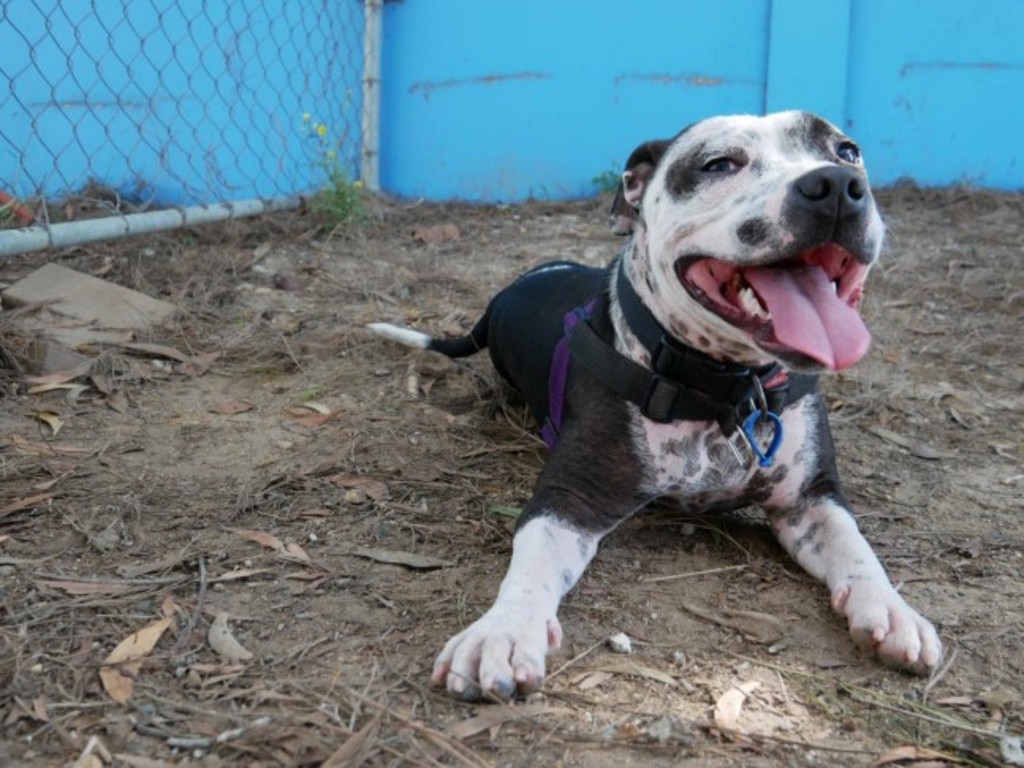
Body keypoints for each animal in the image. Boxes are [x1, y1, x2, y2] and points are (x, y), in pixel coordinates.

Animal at [370, 111, 942, 700]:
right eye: (719, 164)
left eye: (848, 151)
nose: (836, 184)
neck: (723, 386)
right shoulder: (569, 498)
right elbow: (532, 563)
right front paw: (502, 631)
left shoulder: (810, 498)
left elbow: (856, 547)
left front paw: (892, 609)